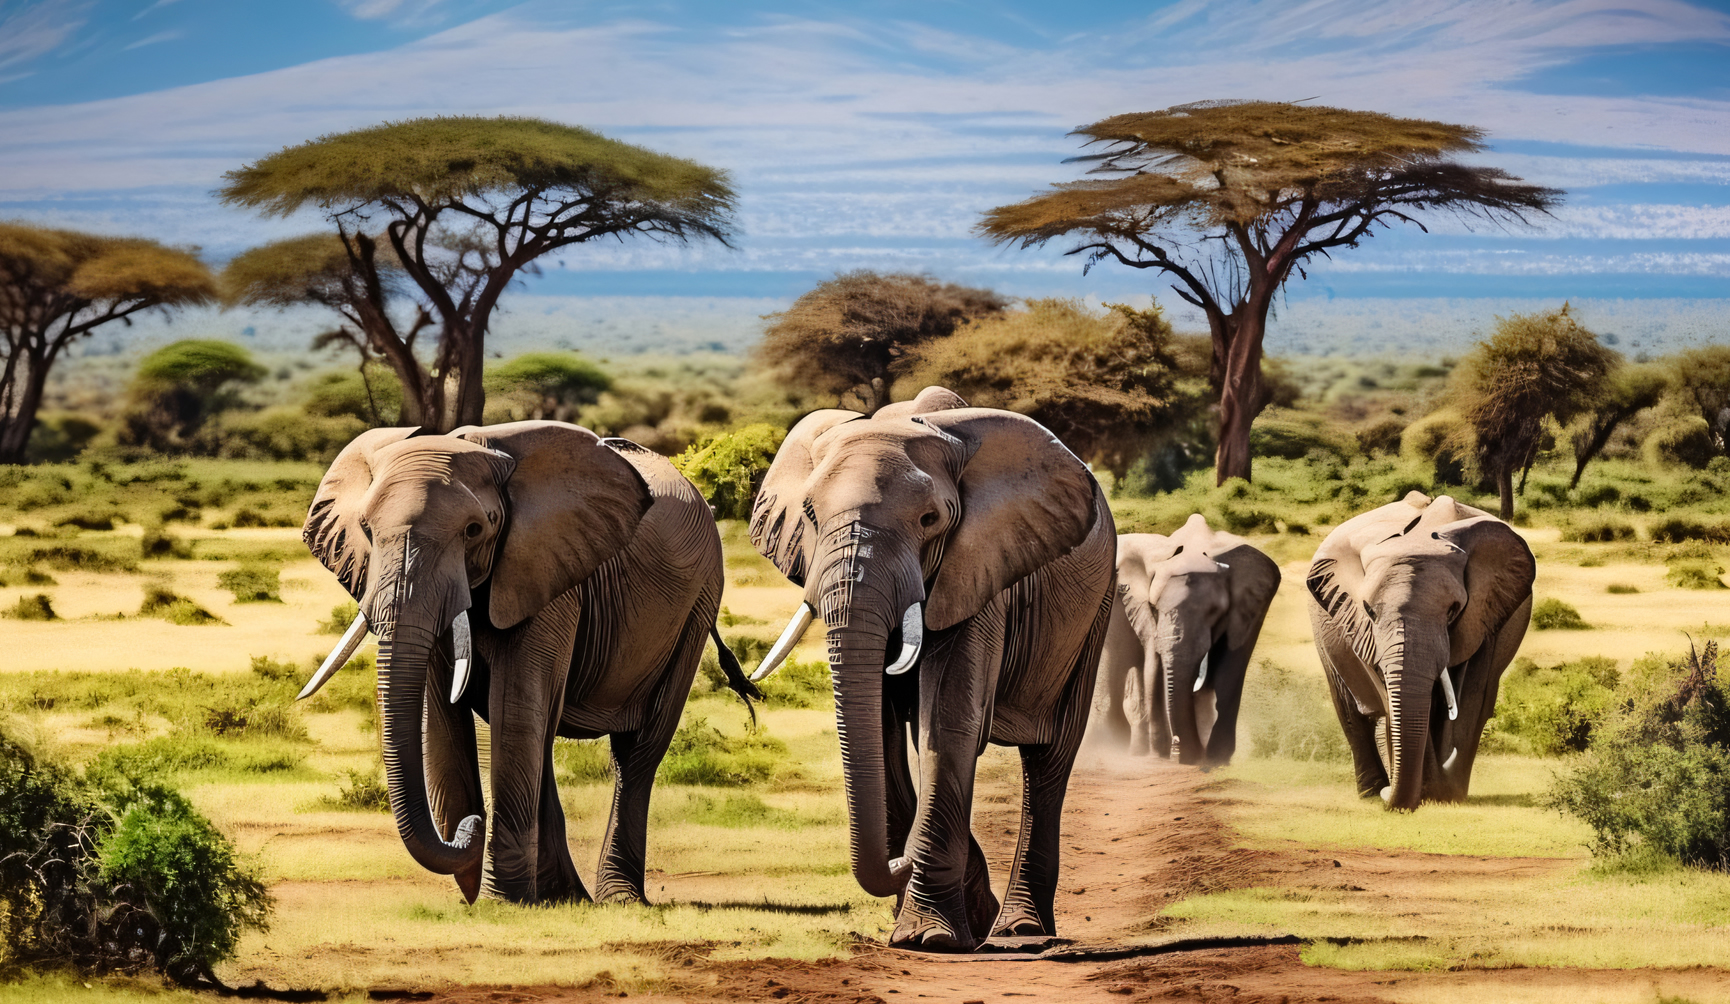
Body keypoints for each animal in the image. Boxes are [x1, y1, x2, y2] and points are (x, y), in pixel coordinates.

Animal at [296, 421, 755, 904]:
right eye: (366, 530)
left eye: (474, 530)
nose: (470, 827)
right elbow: (441, 715)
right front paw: (487, 897)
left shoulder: (549, 574)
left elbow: (514, 707)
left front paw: (500, 901)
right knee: (547, 735)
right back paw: (565, 896)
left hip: (699, 602)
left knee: (638, 750)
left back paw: (618, 898)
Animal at [746, 386, 1117, 952]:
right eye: (809, 514)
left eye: (930, 520)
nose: (899, 860)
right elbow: (880, 727)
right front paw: (929, 918)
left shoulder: (980, 568)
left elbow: (947, 715)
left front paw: (929, 938)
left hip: (1097, 603)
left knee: (1051, 754)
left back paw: (1021, 928)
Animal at [1088, 515, 1281, 766]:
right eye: (1154, 607)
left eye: (1215, 612)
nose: (1180, 751)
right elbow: (1153, 666)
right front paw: (1172, 754)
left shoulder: (1252, 604)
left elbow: (1230, 669)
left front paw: (1216, 758)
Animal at [1306, 491, 1534, 811]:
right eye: (1369, 611)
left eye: (1453, 611)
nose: (1388, 794)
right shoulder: (1358, 625)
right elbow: (1387, 696)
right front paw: (1425, 791)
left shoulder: (1485, 615)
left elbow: (1470, 696)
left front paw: (1445, 794)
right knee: (1349, 710)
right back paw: (1370, 791)